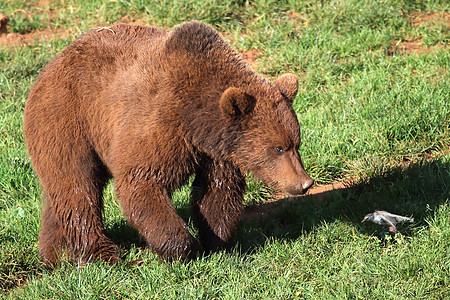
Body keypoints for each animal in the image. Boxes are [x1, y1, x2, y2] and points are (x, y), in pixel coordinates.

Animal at [23, 20, 312, 264]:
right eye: (278, 148)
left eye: (296, 143)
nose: (304, 183)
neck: (197, 119)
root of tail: (48, 67)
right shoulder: (158, 127)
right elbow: (142, 184)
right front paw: (185, 249)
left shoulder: (219, 150)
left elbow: (217, 191)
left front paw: (218, 243)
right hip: (68, 121)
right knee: (78, 187)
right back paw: (101, 254)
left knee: (60, 194)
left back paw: (55, 253)